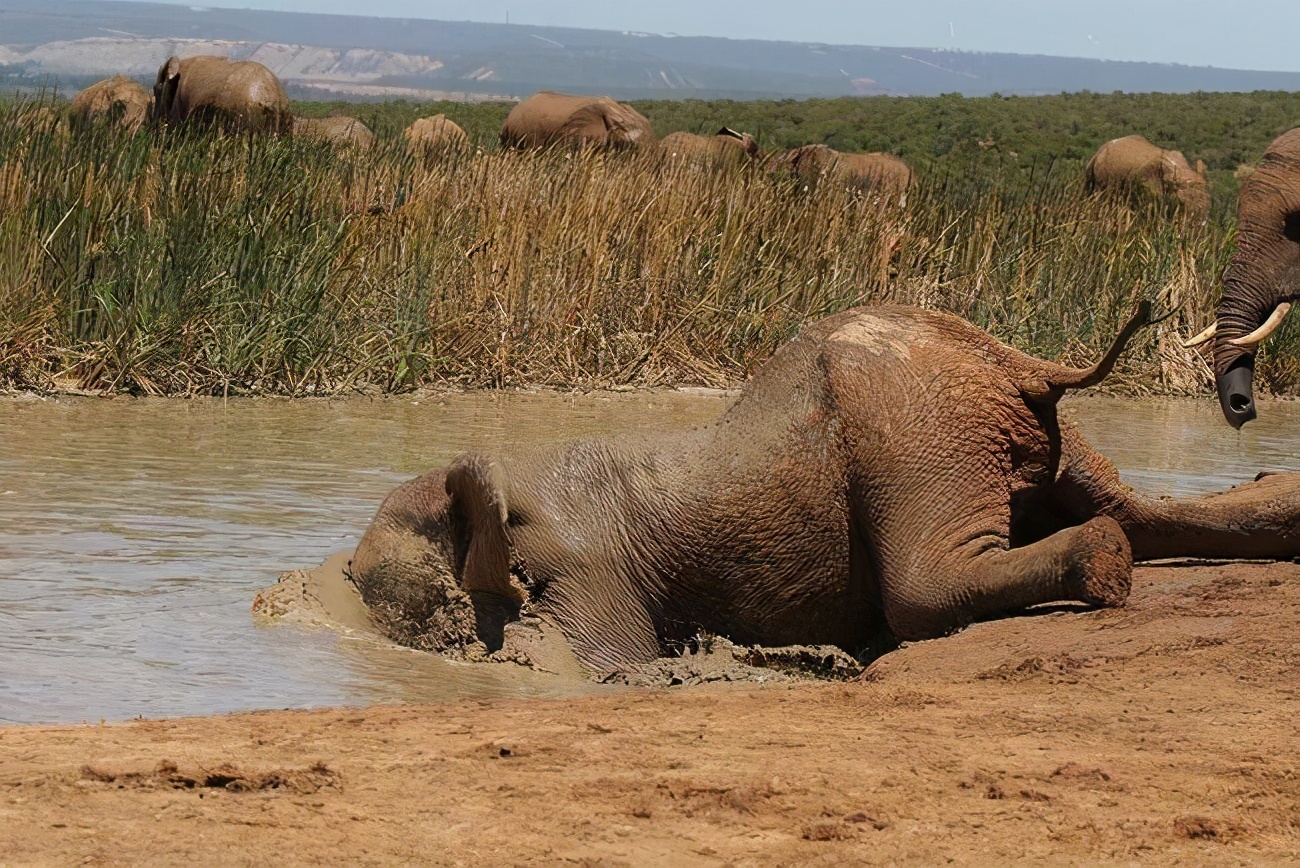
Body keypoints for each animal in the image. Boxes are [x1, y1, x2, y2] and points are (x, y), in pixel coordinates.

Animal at [340, 301, 1300, 675]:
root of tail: (1013, 359)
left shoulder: (580, 568)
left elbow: (605, 664)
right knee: (1133, 508)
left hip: (910, 430)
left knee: (922, 590)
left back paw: (1101, 566)